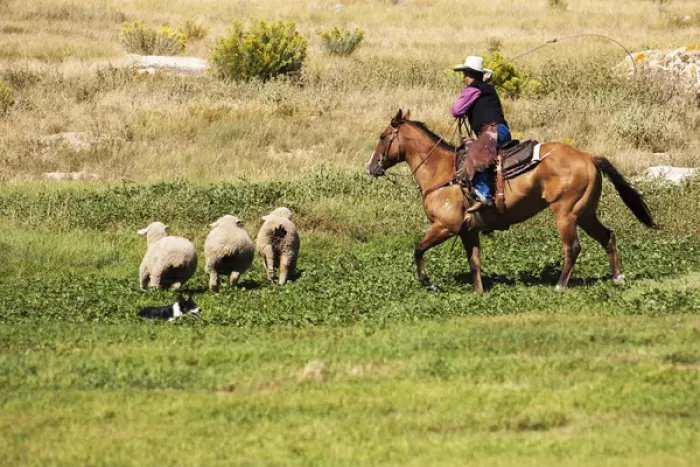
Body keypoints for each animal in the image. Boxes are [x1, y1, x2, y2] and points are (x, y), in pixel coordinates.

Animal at [366, 109, 657, 294]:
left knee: (572, 248)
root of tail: (588, 157)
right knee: (608, 236)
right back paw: (618, 278)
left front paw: (428, 282)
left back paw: (560, 286)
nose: (371, 166)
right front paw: (479, 293)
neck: (441, 172)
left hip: (566, 213)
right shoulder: (468, 231)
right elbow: (475, 262)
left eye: (382, 136)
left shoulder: (445, 227)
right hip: (585, 213)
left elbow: (418, 249)